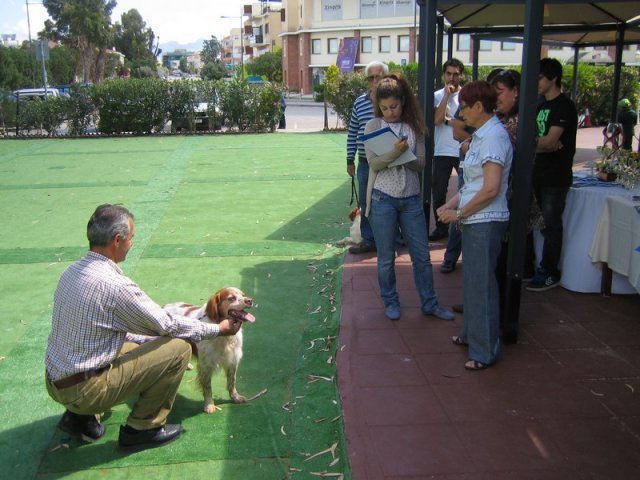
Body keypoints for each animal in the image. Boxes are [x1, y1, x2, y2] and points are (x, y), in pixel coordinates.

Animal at [162, 286, 255, 414]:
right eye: (231, 298)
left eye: (243, 294)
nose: (250, 300)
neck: (224, 336)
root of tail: (164, 306)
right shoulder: (206, 365)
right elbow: (207, 387)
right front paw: (209, 404)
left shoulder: (232, 359)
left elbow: (232, 382)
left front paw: (235, 397)